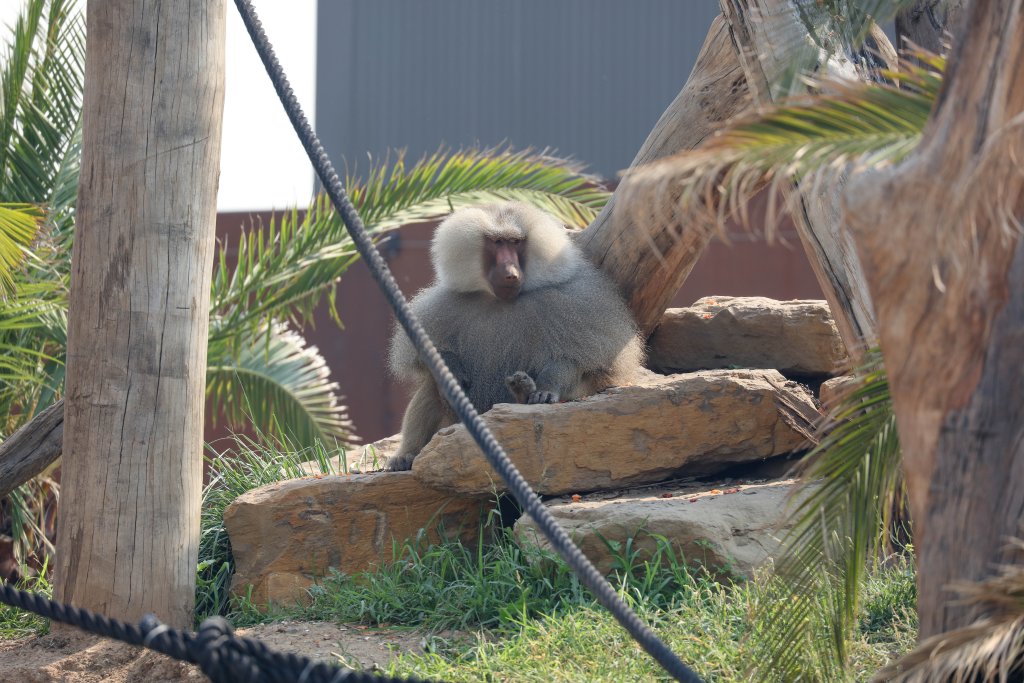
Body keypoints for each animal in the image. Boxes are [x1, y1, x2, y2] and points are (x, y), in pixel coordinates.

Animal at [385, 202, 645, 472]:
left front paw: (546, 387)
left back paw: (524, 391)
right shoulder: (443, 307)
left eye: (516, 242)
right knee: (431, 388)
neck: (501, 301)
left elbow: (580, 359)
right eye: (497, 242)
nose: (510, 273)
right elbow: (425, 357)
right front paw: (451, 366)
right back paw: (406, 456)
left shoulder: (579, 301)